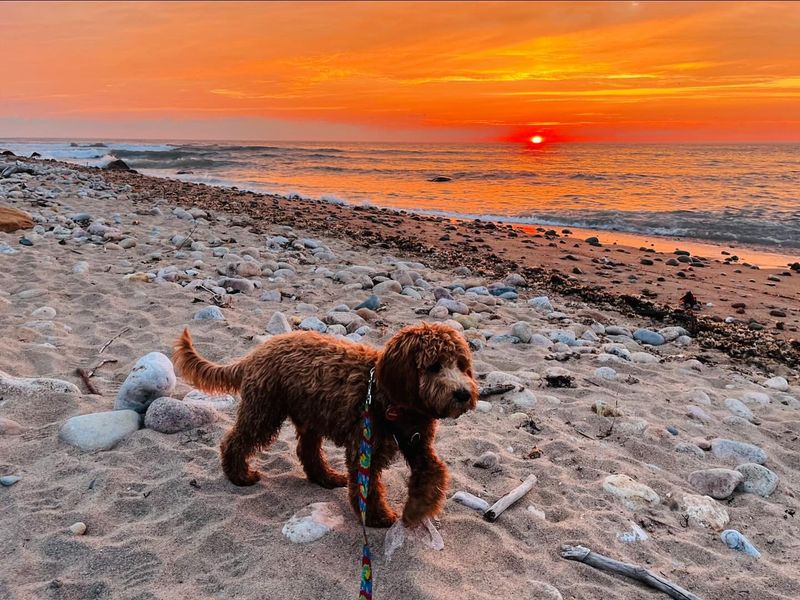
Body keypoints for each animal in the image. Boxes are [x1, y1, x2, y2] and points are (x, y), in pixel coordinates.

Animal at [173, 324, 476, 524]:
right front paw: (377, 516)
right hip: (264, 410)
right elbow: (368, 487)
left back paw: (325, 477)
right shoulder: (365, 447)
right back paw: (238, 475)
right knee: (236, 440)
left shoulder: (418, 443)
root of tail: (257, 352)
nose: (463, 394)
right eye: (434, 366)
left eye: (462, 365)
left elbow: (432, 472)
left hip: (309, 415)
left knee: (307, 451)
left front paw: (417, 510)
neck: (392, 398)